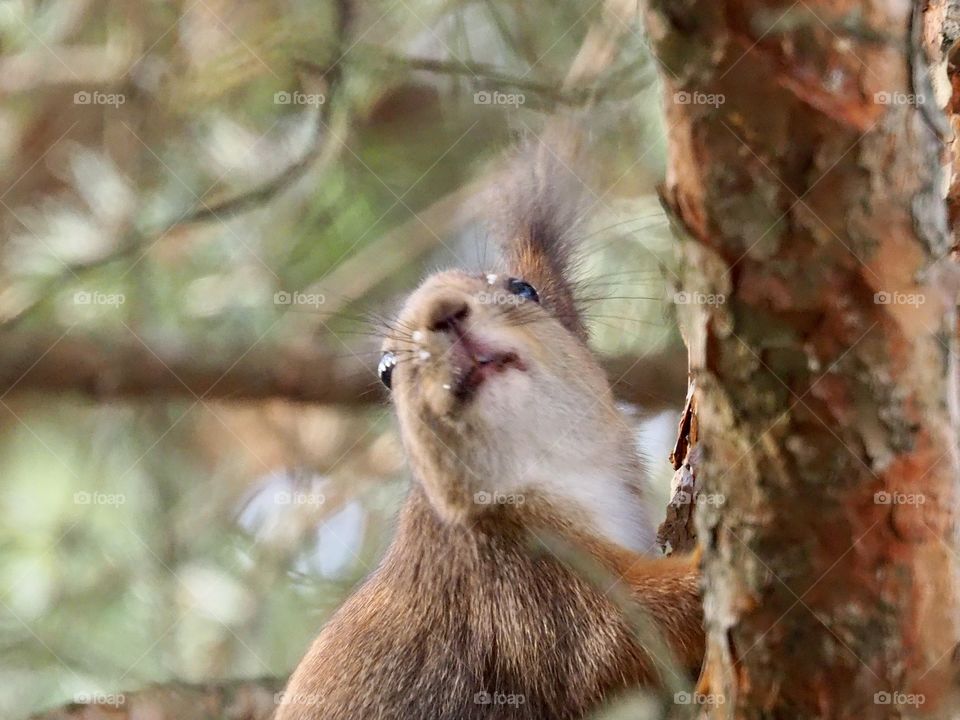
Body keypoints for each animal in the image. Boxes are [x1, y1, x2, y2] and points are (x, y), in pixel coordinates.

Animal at [275, 151, 704, 720]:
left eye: (523, 289)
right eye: (387, 370)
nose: (443, 313)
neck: (556, 471)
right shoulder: (507, 588)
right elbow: (618, 636)